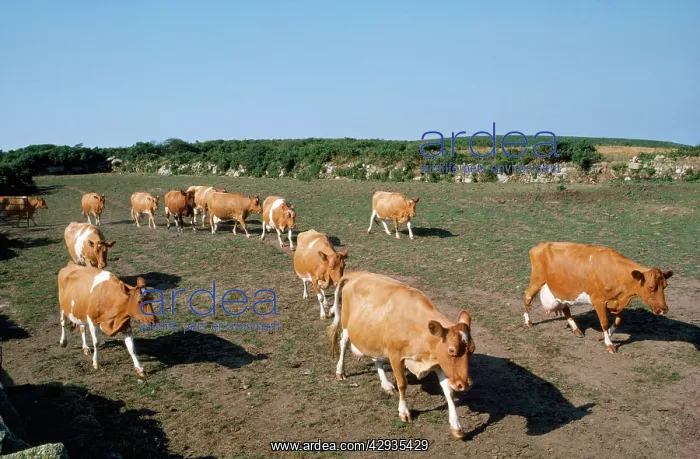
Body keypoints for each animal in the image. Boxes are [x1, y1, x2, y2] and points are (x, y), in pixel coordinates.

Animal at [328, 271, 475, 439]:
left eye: (472, 350)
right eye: (451, 350)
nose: (465, 384)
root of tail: (357, 274)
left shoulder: (438, 363)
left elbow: (449, 392)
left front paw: (456, 425)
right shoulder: (396, 355)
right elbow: (403, 384)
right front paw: (404, 412)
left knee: (376, 358)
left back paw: (386, 384)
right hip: (347, 324)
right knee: (343, 343)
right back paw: (340, 371)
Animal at [523, 241, 674, 354]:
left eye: (665, 285)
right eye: (651, 287)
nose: (664, 309)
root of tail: (540, 245)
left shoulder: (615, 301)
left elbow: (618, 320)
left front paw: (605, 335)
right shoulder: (598, 301)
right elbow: (604, 322)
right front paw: (609, 344)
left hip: (562, 290)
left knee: (565, 308)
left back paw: (576, 329)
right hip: (537, 280)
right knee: (527, 297)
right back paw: (528, 321)